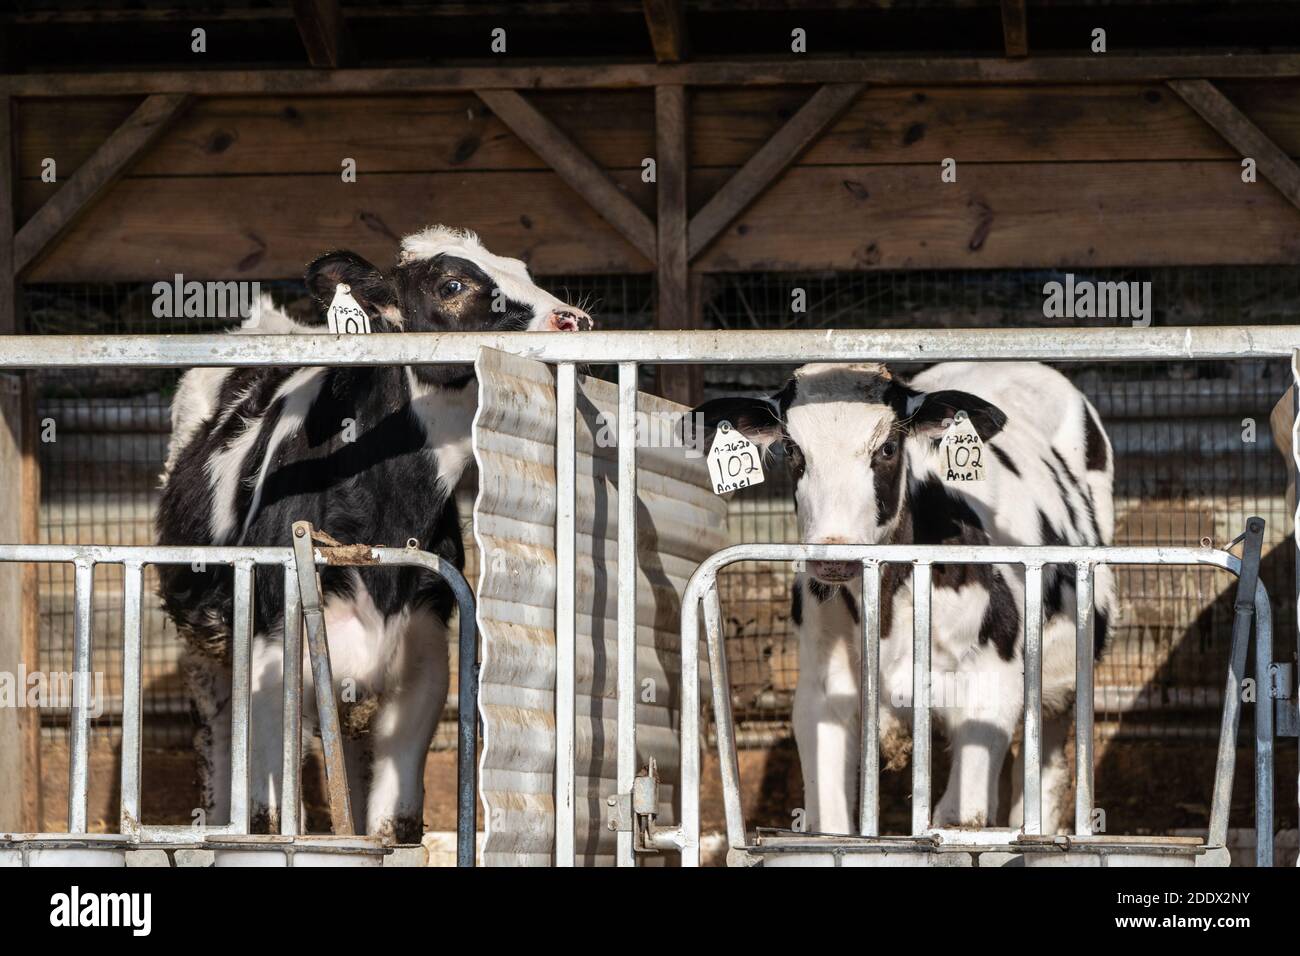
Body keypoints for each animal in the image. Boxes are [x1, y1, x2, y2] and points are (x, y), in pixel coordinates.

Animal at [153, 227, 595, 842]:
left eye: (522, 269)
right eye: (452, 285)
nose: (573, 320)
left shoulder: (423, 660)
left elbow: (393, 824)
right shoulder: (272, 660)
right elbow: (271, 817)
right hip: (204, 646)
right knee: (216, 735)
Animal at [702, 361, 1118, 832]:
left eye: (887, 448)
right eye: (792, 449)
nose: (834, 553)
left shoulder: (991, 687)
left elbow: (961, 817)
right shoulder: (821, 695)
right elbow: (831, 824)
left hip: (1063, 681)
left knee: (1046, 770)